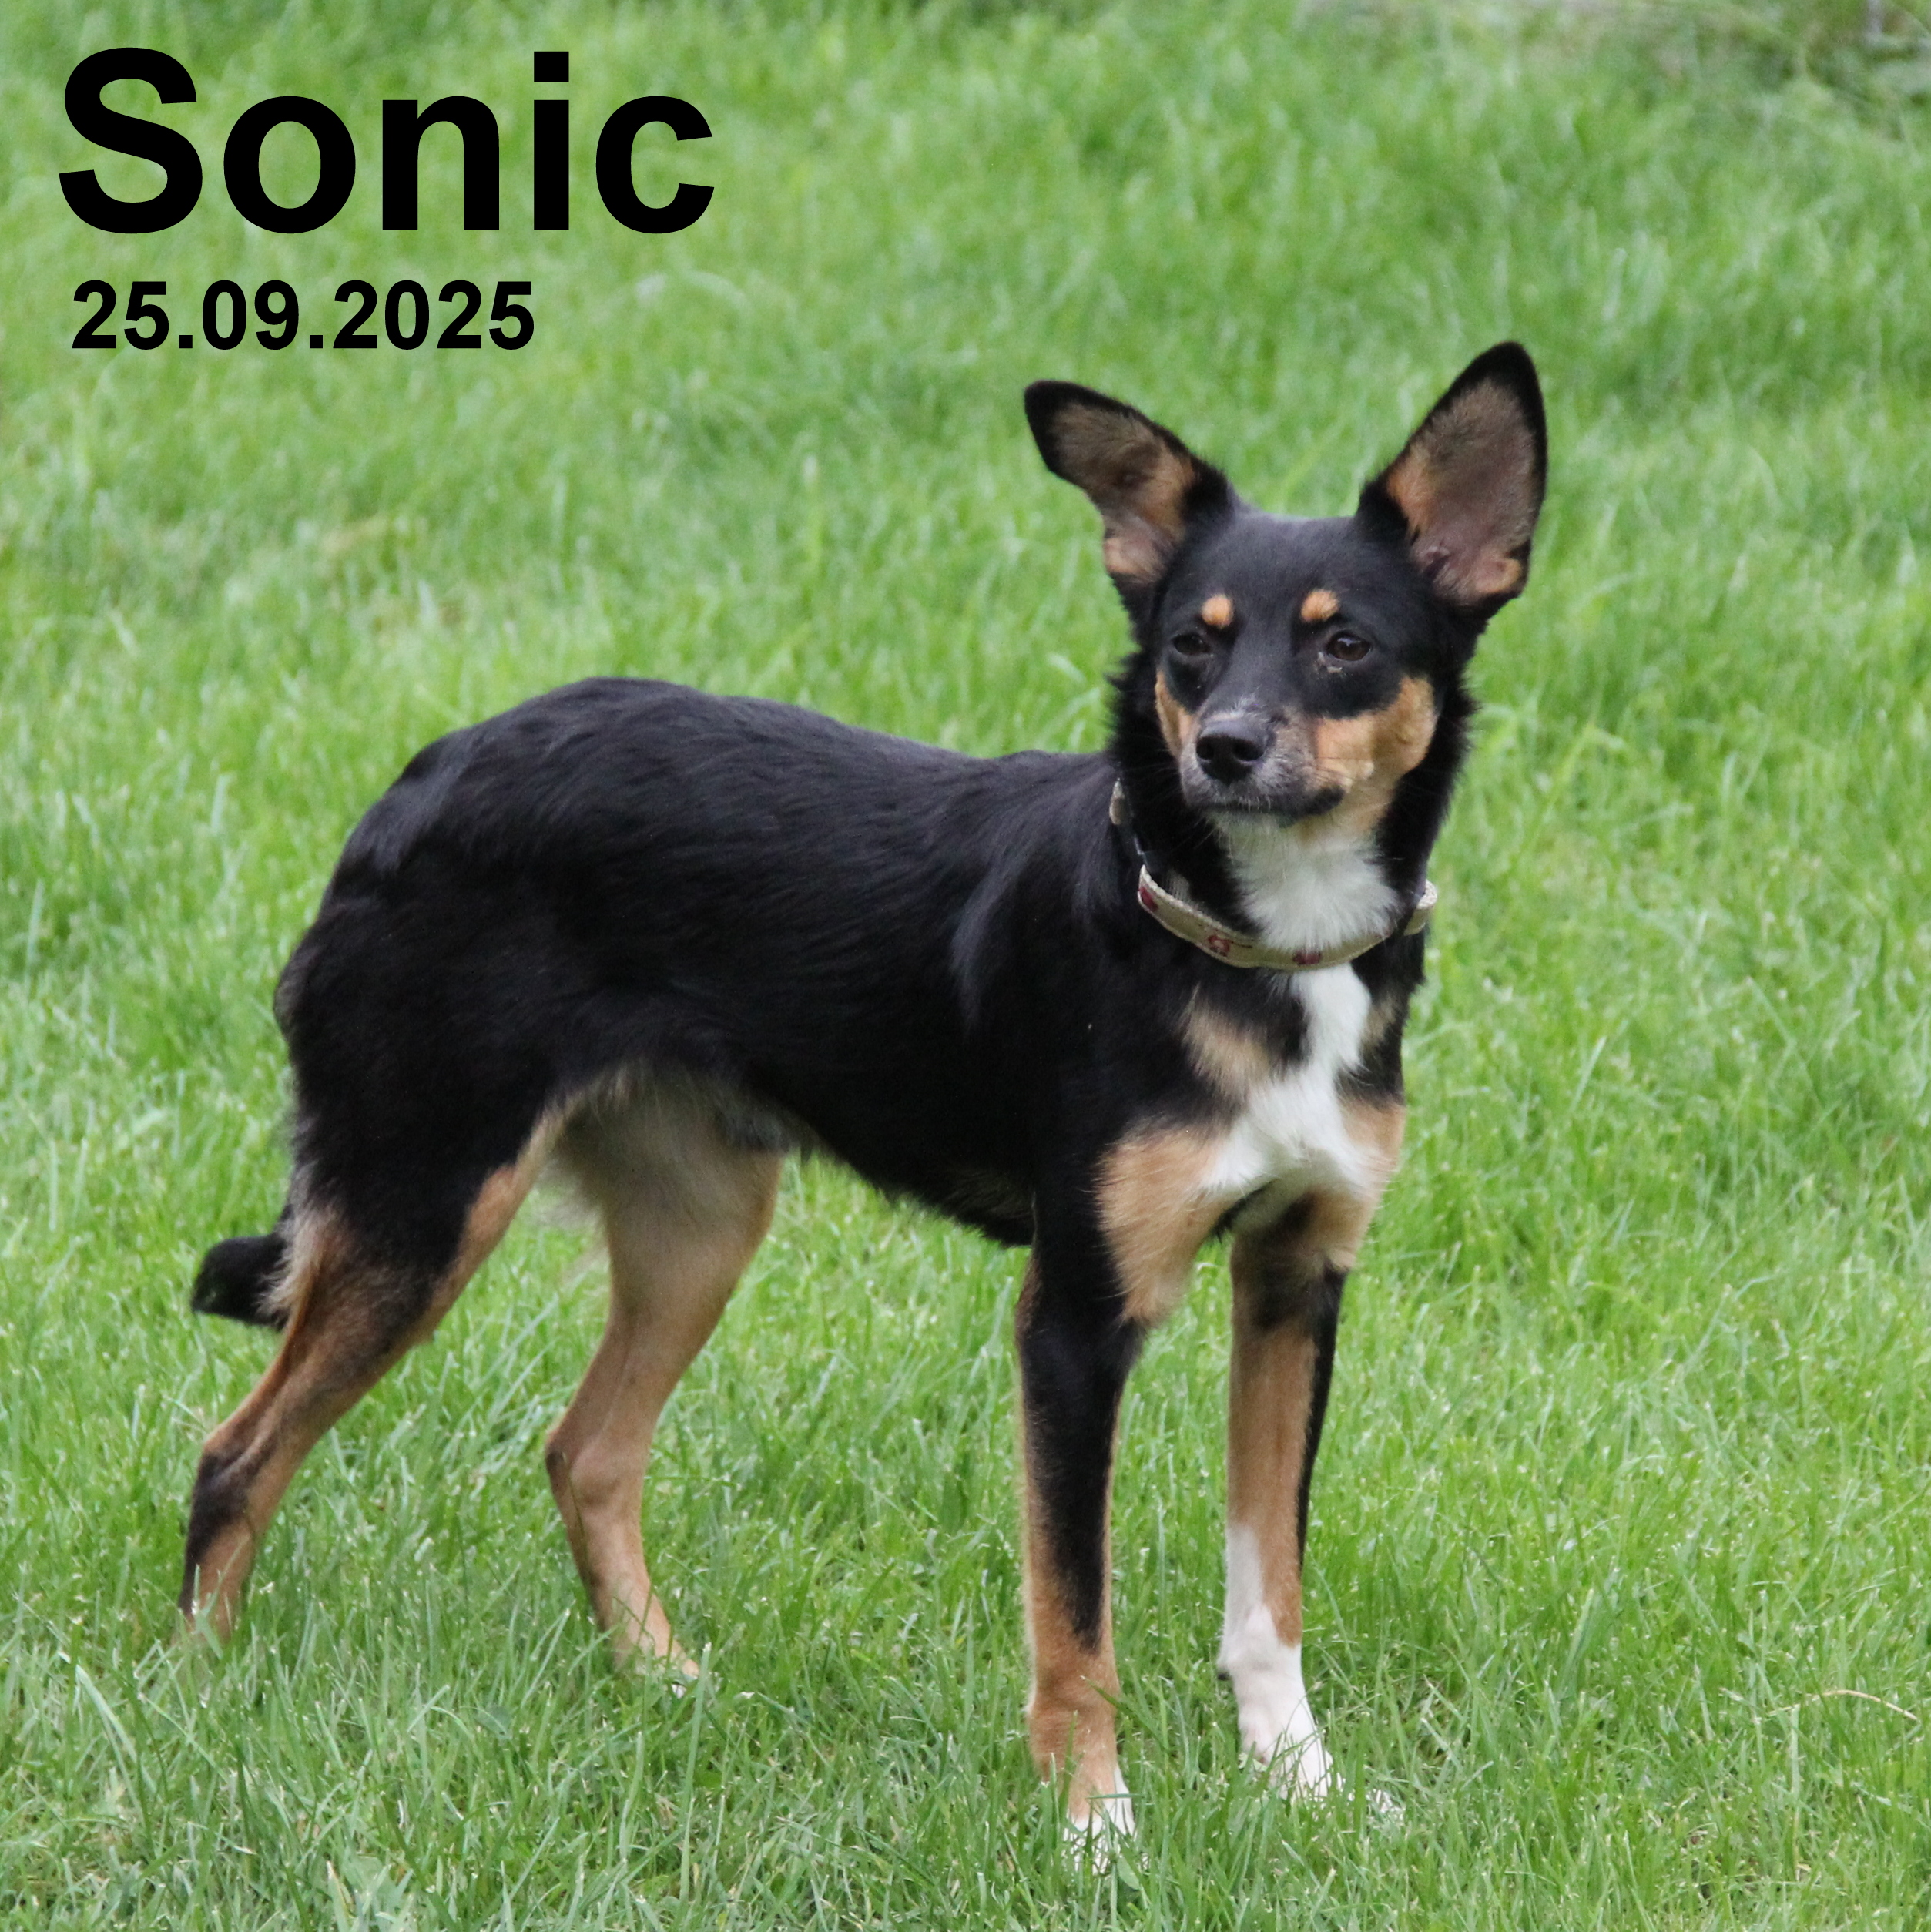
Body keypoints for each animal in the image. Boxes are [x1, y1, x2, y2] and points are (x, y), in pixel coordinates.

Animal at [183, 343, 1545, 1842]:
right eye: (1192, 642)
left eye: (1342, 644)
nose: (1227, 749)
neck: (1248, 945)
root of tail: (411, 789)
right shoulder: (1075, 1318)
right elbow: (1074, 1615)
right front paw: (1094, 1826)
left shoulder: (1296, 1278)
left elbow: (1268, 1582)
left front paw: (1295, 1780)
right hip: (423, 1202)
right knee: (234, 1459)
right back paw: (197, 1699)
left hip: (697, 1224)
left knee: (585, 1452)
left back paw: (665, 1684)